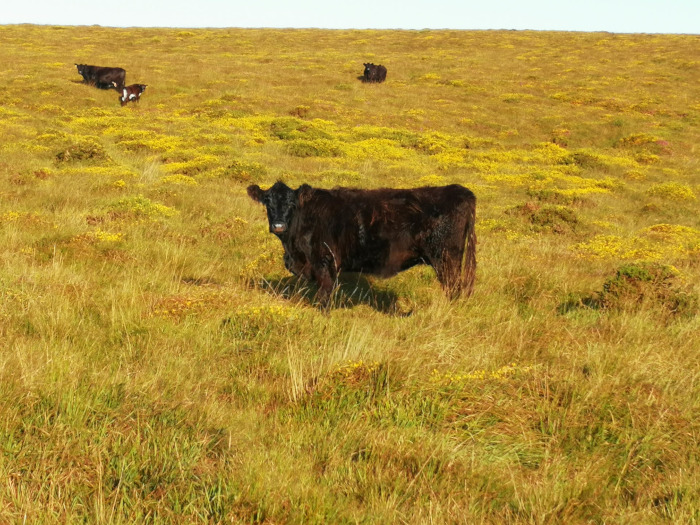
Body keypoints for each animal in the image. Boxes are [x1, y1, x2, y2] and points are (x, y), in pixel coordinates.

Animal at [247, 181, 476, 306]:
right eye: (267, 202)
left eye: (291, 203)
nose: (278, 226)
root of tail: (460, 190)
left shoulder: (325, 262)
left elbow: (324, 296)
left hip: (447, 259)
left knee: (454, 288)